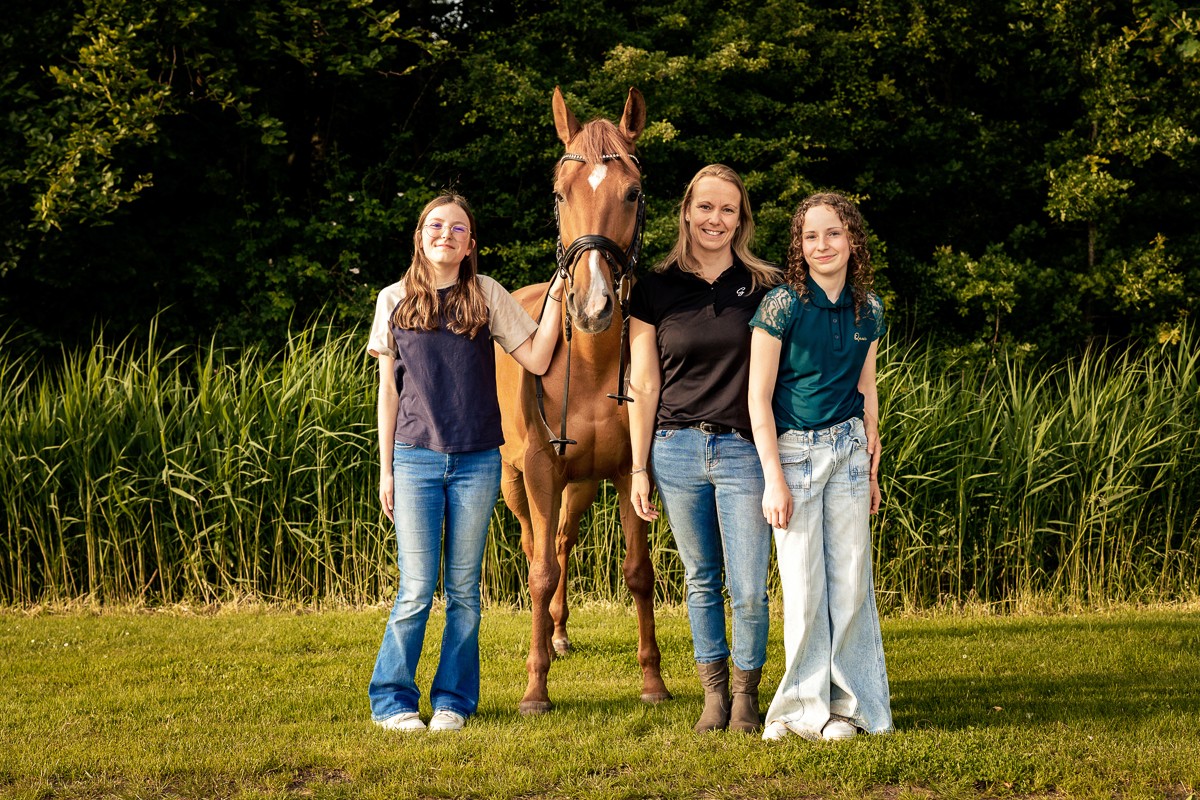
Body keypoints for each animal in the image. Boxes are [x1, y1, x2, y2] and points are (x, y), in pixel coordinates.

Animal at [492, 86, 672, 714]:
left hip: (582, 485)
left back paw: (561, 631)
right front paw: (534, 688)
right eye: (559, 193)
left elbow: (638, 572)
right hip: (516, 481)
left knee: (564, 541)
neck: (590, 366)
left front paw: (653, 682)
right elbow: (540, 571)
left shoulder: (627, 472)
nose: (591, 307)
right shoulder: (541, 471)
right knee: (536, 547)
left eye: (633, 192)